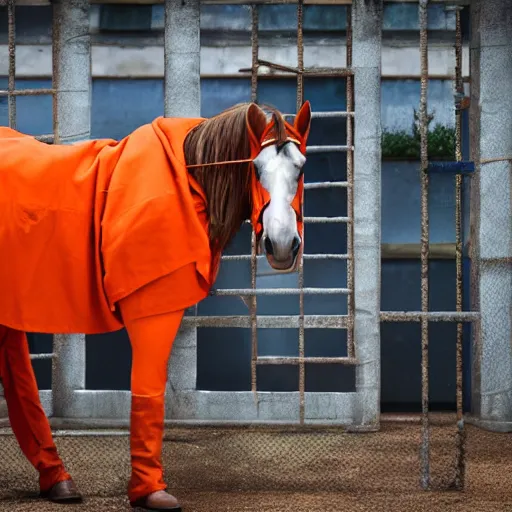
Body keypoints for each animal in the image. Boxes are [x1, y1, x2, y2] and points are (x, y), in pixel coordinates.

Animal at [0, 101, 312, 512]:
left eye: (301, 167)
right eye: (256, 168)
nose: (282, 245)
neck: (187, 181)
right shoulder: (152, 310)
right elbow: (148, 393)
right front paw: (150, 490)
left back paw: (57, 480)